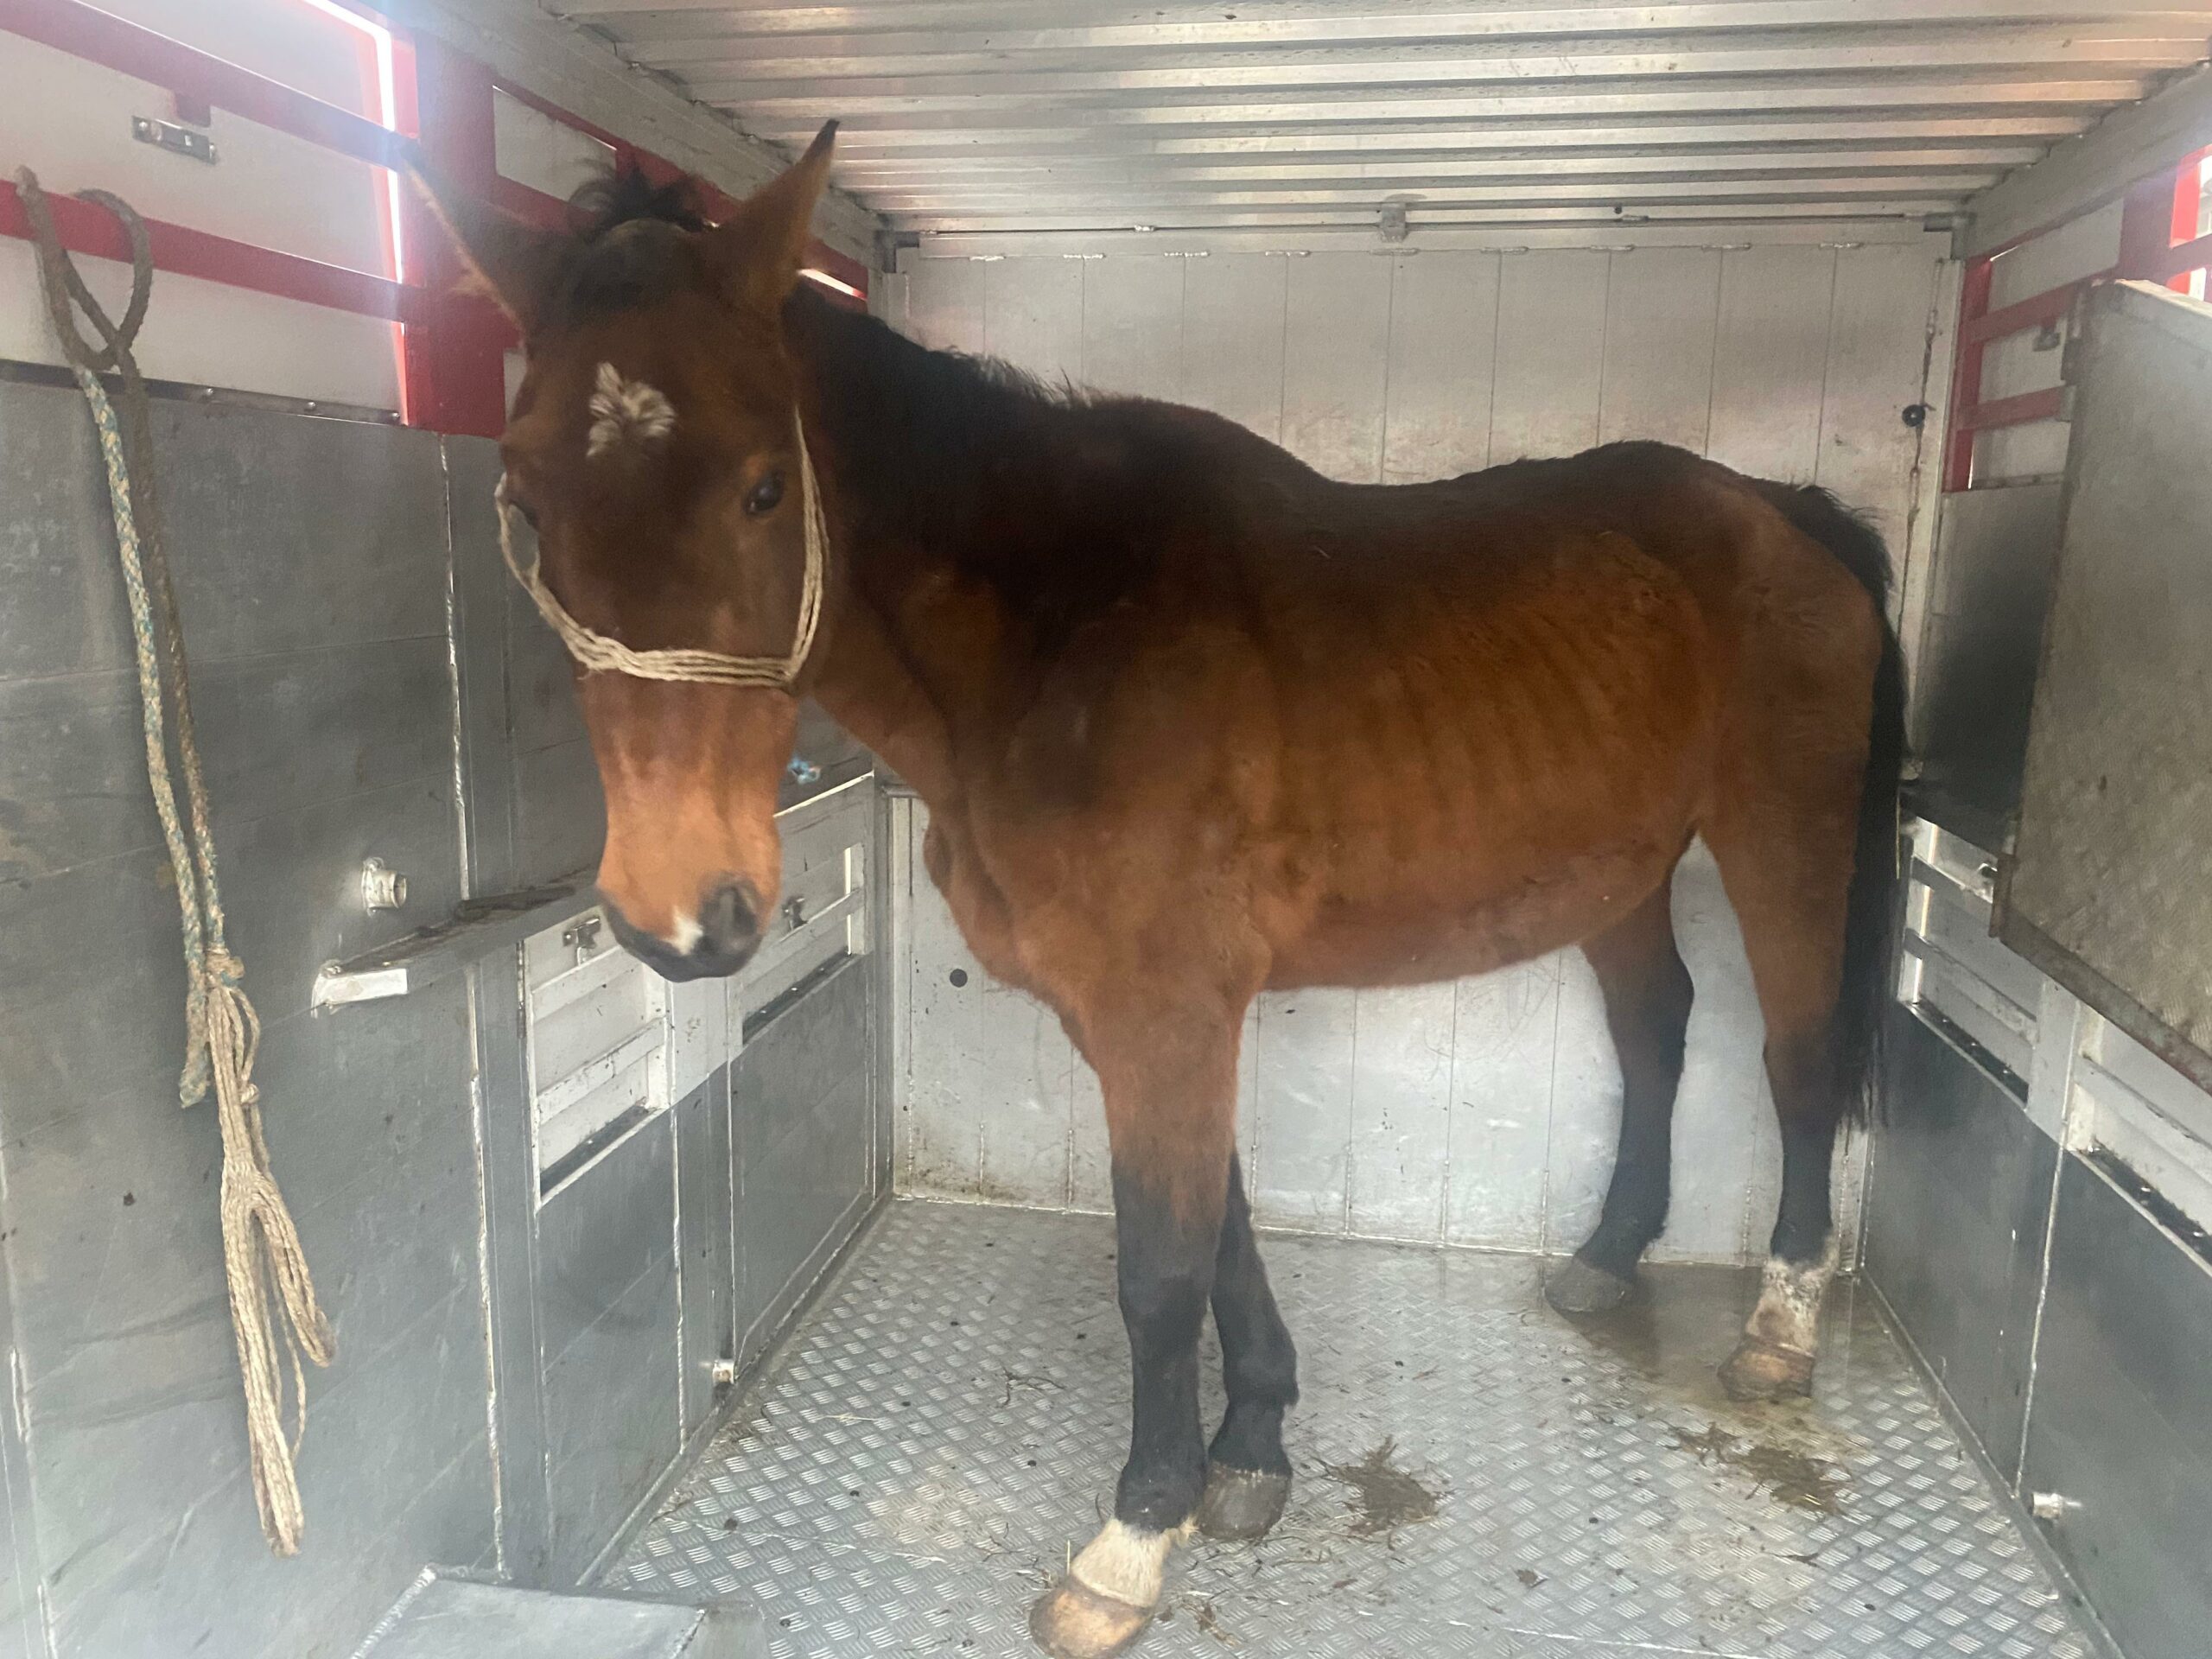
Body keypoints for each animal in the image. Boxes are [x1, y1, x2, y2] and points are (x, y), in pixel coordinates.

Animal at [414, 124, 1904, 1659]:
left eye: (767, 486)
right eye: (523, 502)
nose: (678, 911)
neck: (1054, 644)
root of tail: (1784, 514)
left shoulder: (1167, 1005)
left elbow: (1158, 1269)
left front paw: (1132, 1538)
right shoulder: (1138, 1009)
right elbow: (1219, 1223)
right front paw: (1248, 1447)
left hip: (1784, 836)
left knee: (1798, 1059)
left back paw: (1779, 1330)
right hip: (1622, 872)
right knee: (1656, 1028)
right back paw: (1609, 1252)